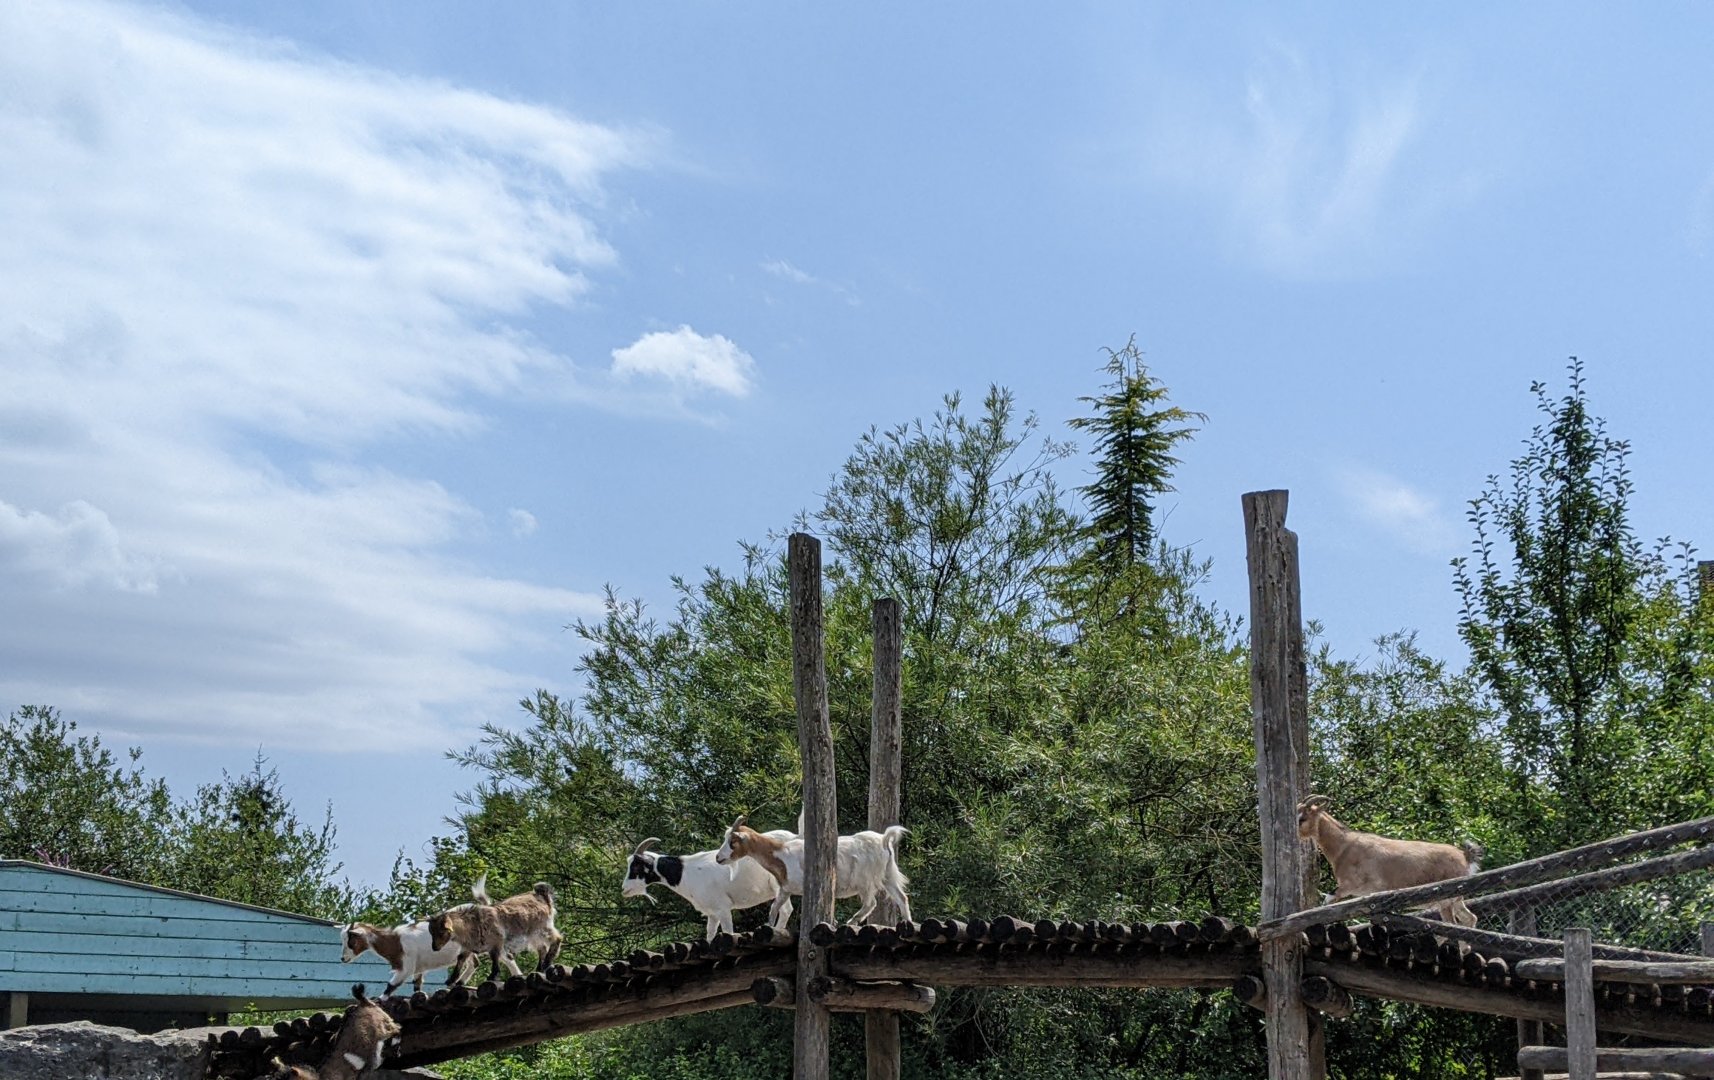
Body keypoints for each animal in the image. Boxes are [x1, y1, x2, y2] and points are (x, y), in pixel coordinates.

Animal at [428, 876, 563, 986]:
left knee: (556, 939)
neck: (472, 924)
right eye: (431, 932)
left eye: (441, 932)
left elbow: (495, 958)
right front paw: (451, 979)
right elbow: (460, 959)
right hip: (533, 935)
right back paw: (539, 968)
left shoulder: (496, 941)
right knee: (542, 948)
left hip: (542, 928)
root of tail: (542, 895)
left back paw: (547, 962)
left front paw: (493, 976)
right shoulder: (469, 946)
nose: (435, 948)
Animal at [622, 831, 797, 939]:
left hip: (779, 885)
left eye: (636, 866)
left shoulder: (723, 907)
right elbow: (710, 935)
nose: (624, 889)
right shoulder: (712, 913)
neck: (686, 873)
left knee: (786, 910)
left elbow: (728, 932)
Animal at [714, 814, 911, 928]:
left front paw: (832, 922)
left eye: (732, 841)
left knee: (871, 903)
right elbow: (773, 908)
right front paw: (769, 926)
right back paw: (907, 922)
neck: (781, 855)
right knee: (902, 897)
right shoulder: (785, 889)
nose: (718, 858)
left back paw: (852, 921)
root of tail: (884, 840)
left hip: (866, 879)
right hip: (888, 875)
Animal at [1296, 795, 1484, 926]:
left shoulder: (1349, 886)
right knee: (1470, 918)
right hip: (1457, 899)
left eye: (1302, 818)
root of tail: (1465, 856)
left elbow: (1327, 903)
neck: (1345, 846)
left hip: (1446, 898)